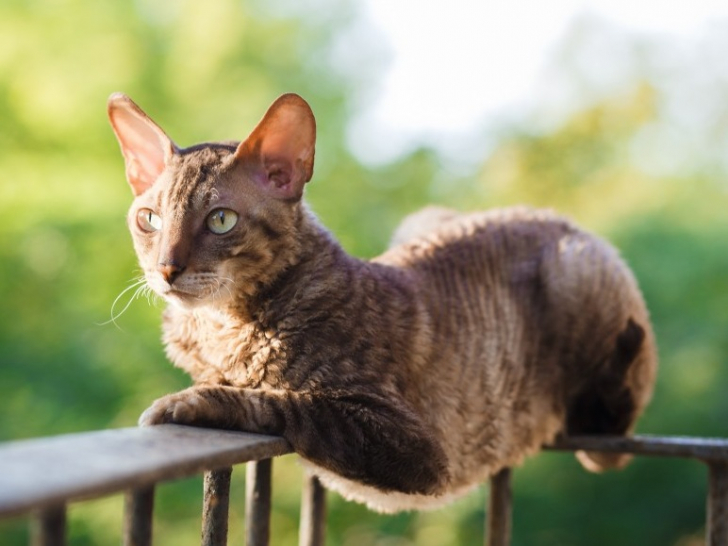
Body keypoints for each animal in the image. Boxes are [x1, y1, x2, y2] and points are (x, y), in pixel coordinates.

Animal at [108, 91, 660, 512]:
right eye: (150, 219)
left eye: (221, 220)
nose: (166, 268)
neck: (219, 328)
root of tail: (558, 218)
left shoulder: (419, 449)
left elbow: (286, 403)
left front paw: (190, 401)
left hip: (577, 273)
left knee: (611, 428)